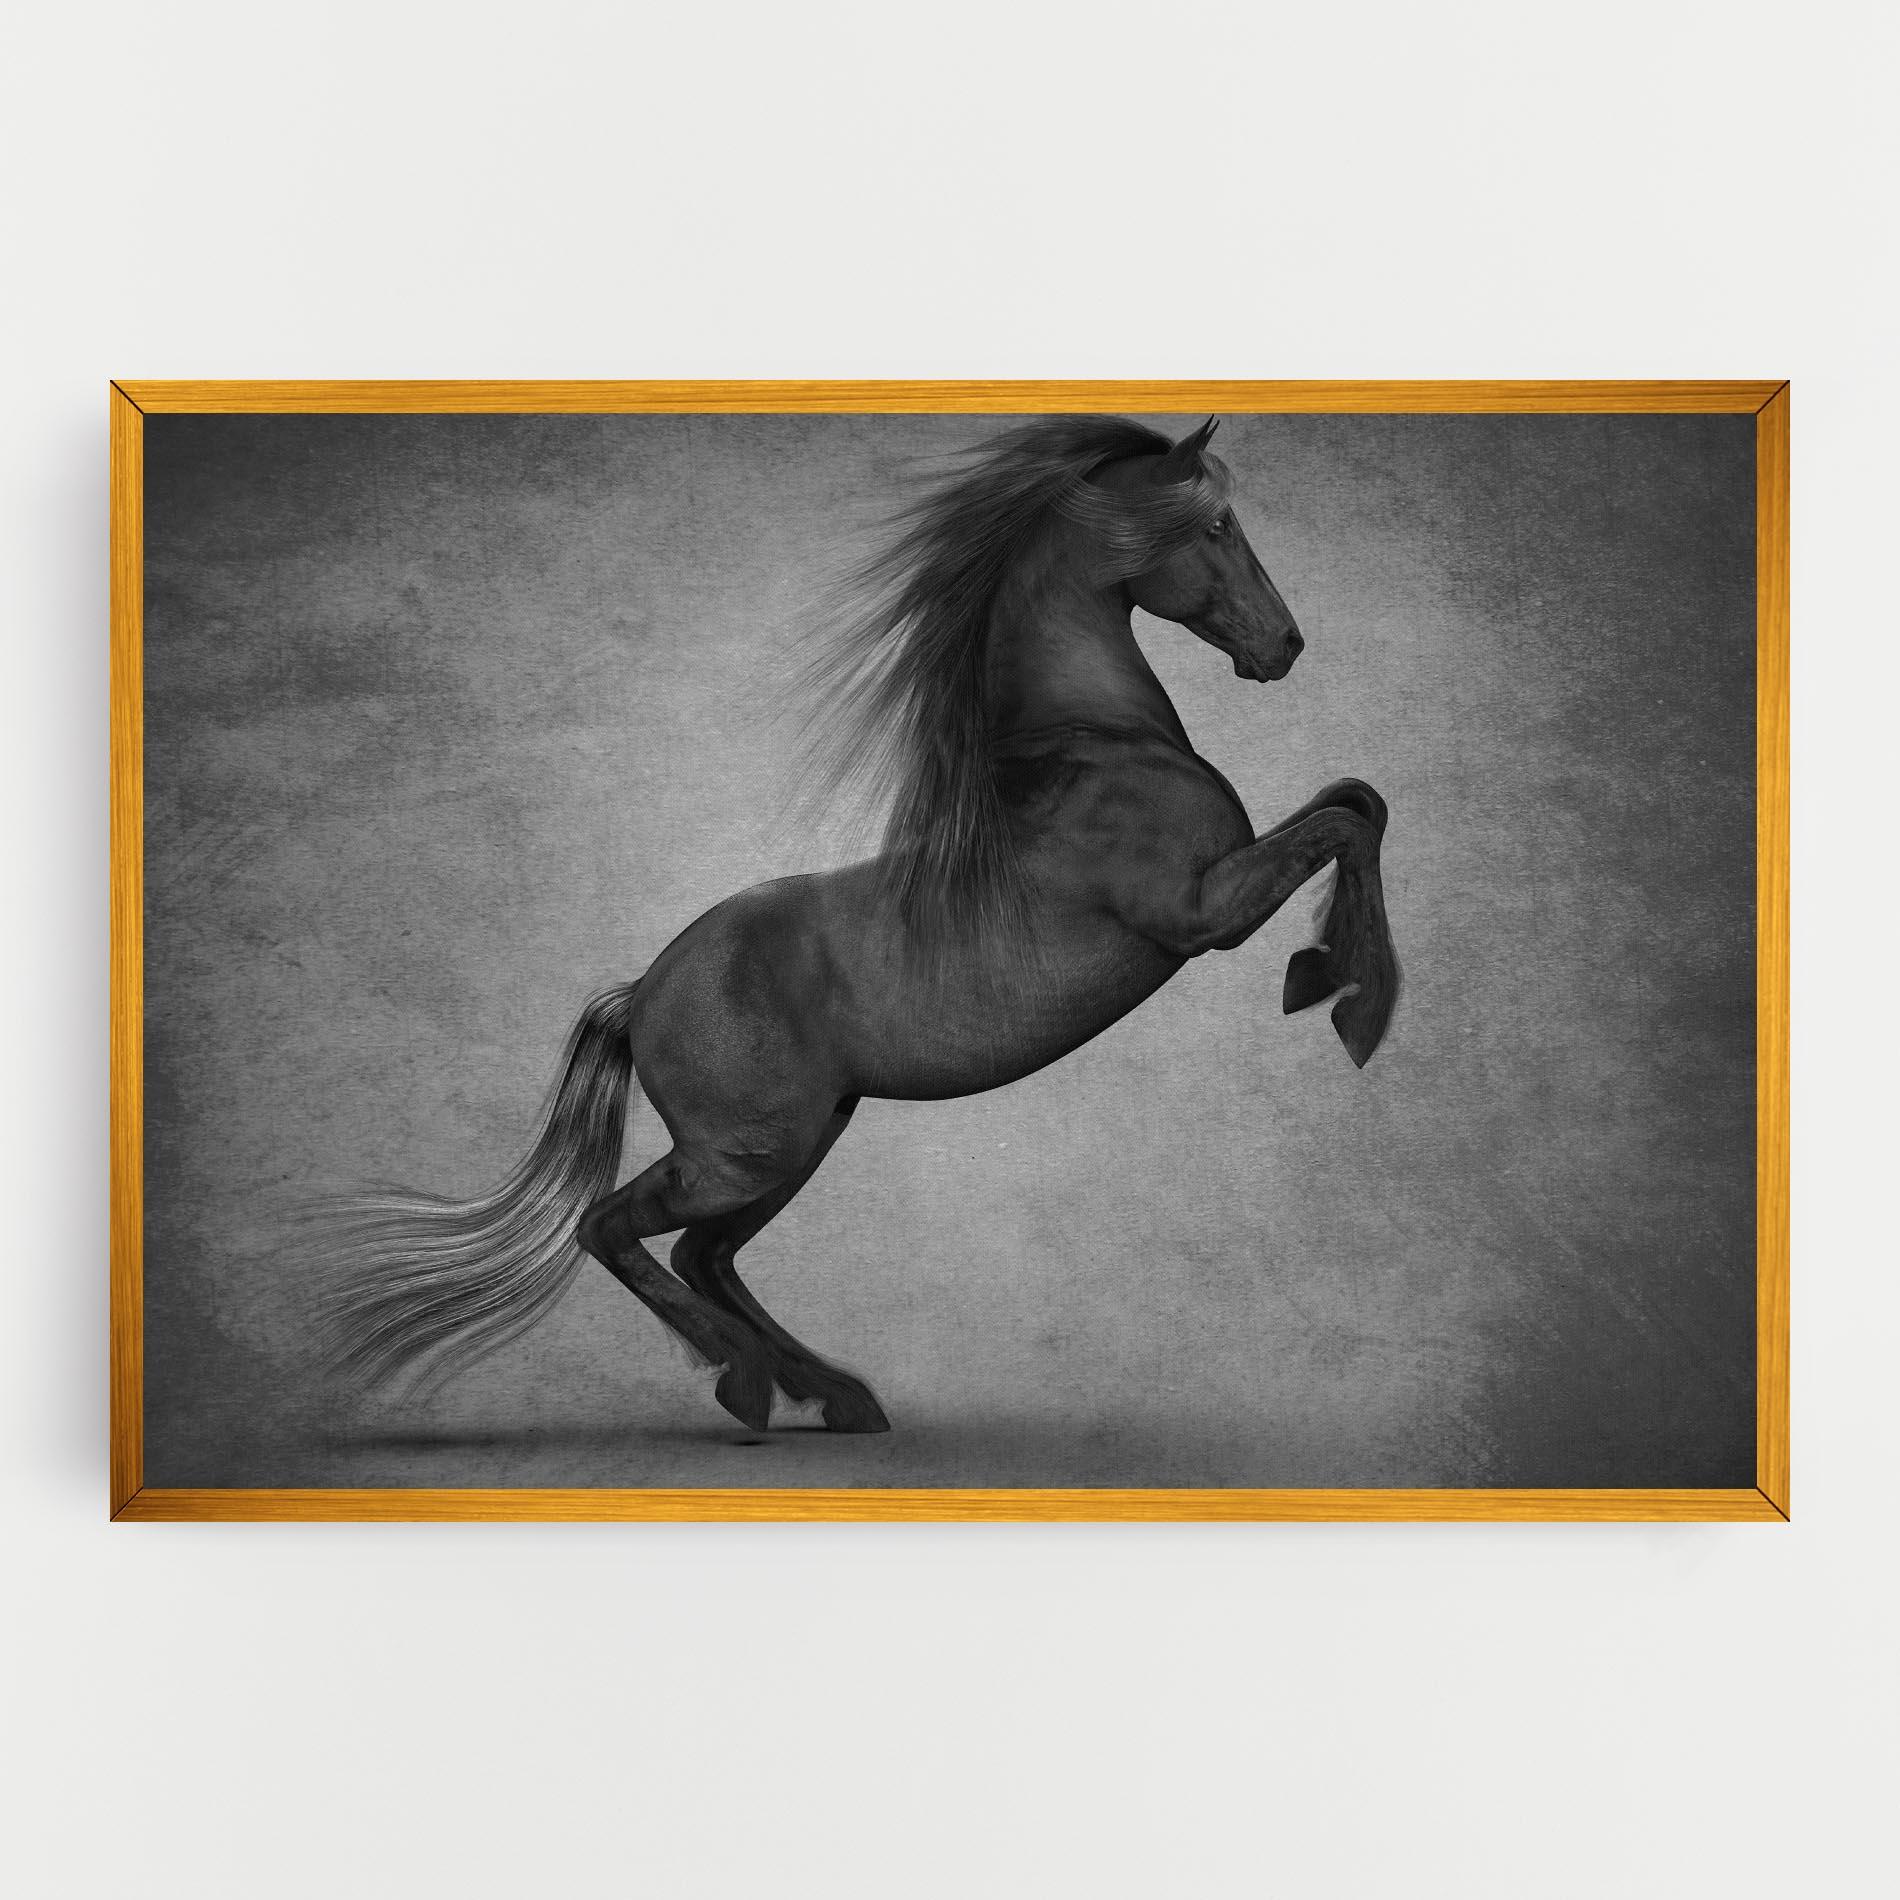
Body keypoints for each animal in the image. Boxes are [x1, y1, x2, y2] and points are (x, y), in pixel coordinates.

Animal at [318, 415, 1400, 1434]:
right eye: (1215, 525)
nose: (1286, 646)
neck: (1097, 746)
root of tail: (641, 993)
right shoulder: (1198, 913)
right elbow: (1344, 821)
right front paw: (1349, 1002)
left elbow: (1358, 799)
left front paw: (1331, 973)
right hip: (745, 1154)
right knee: (613, 1228)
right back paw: (749, 1383)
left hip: (795, 1145)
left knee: (704, 1254)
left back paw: (832, 1394)